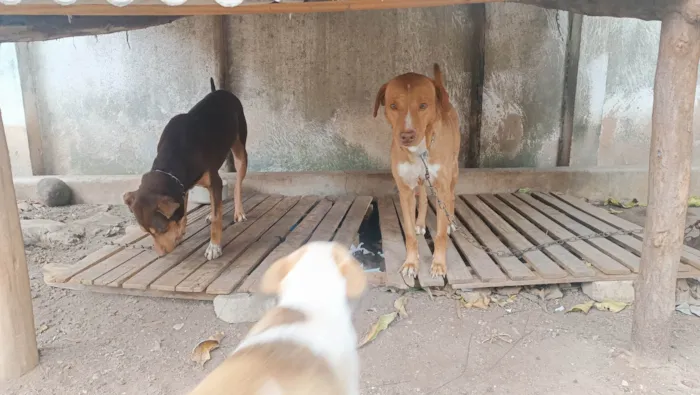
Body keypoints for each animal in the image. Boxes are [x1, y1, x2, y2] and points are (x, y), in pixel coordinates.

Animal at [123, 79, 249, 262]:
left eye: (161, 230)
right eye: (146, 232)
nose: (160, 255)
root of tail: (219, 91)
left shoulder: (214, 181)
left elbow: (216, 218)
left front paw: (214, 246)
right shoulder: (183, 184)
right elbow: (186, 207)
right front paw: (181, 229)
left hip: (240, 150)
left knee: (238, 182)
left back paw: (238, 212)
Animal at [372, 64, 460, 278]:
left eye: (423, 105)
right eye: (393, 106)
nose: (406, 136)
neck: (419, 151)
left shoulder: (441, 187)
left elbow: (439, 235)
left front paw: (439, 264)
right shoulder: (405, 190)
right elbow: (410, 234)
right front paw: (411, 263)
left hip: (453, 172)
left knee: (452, 197)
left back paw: (450, 222)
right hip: (421, 180)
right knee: (423, 197)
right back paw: (420, 222)